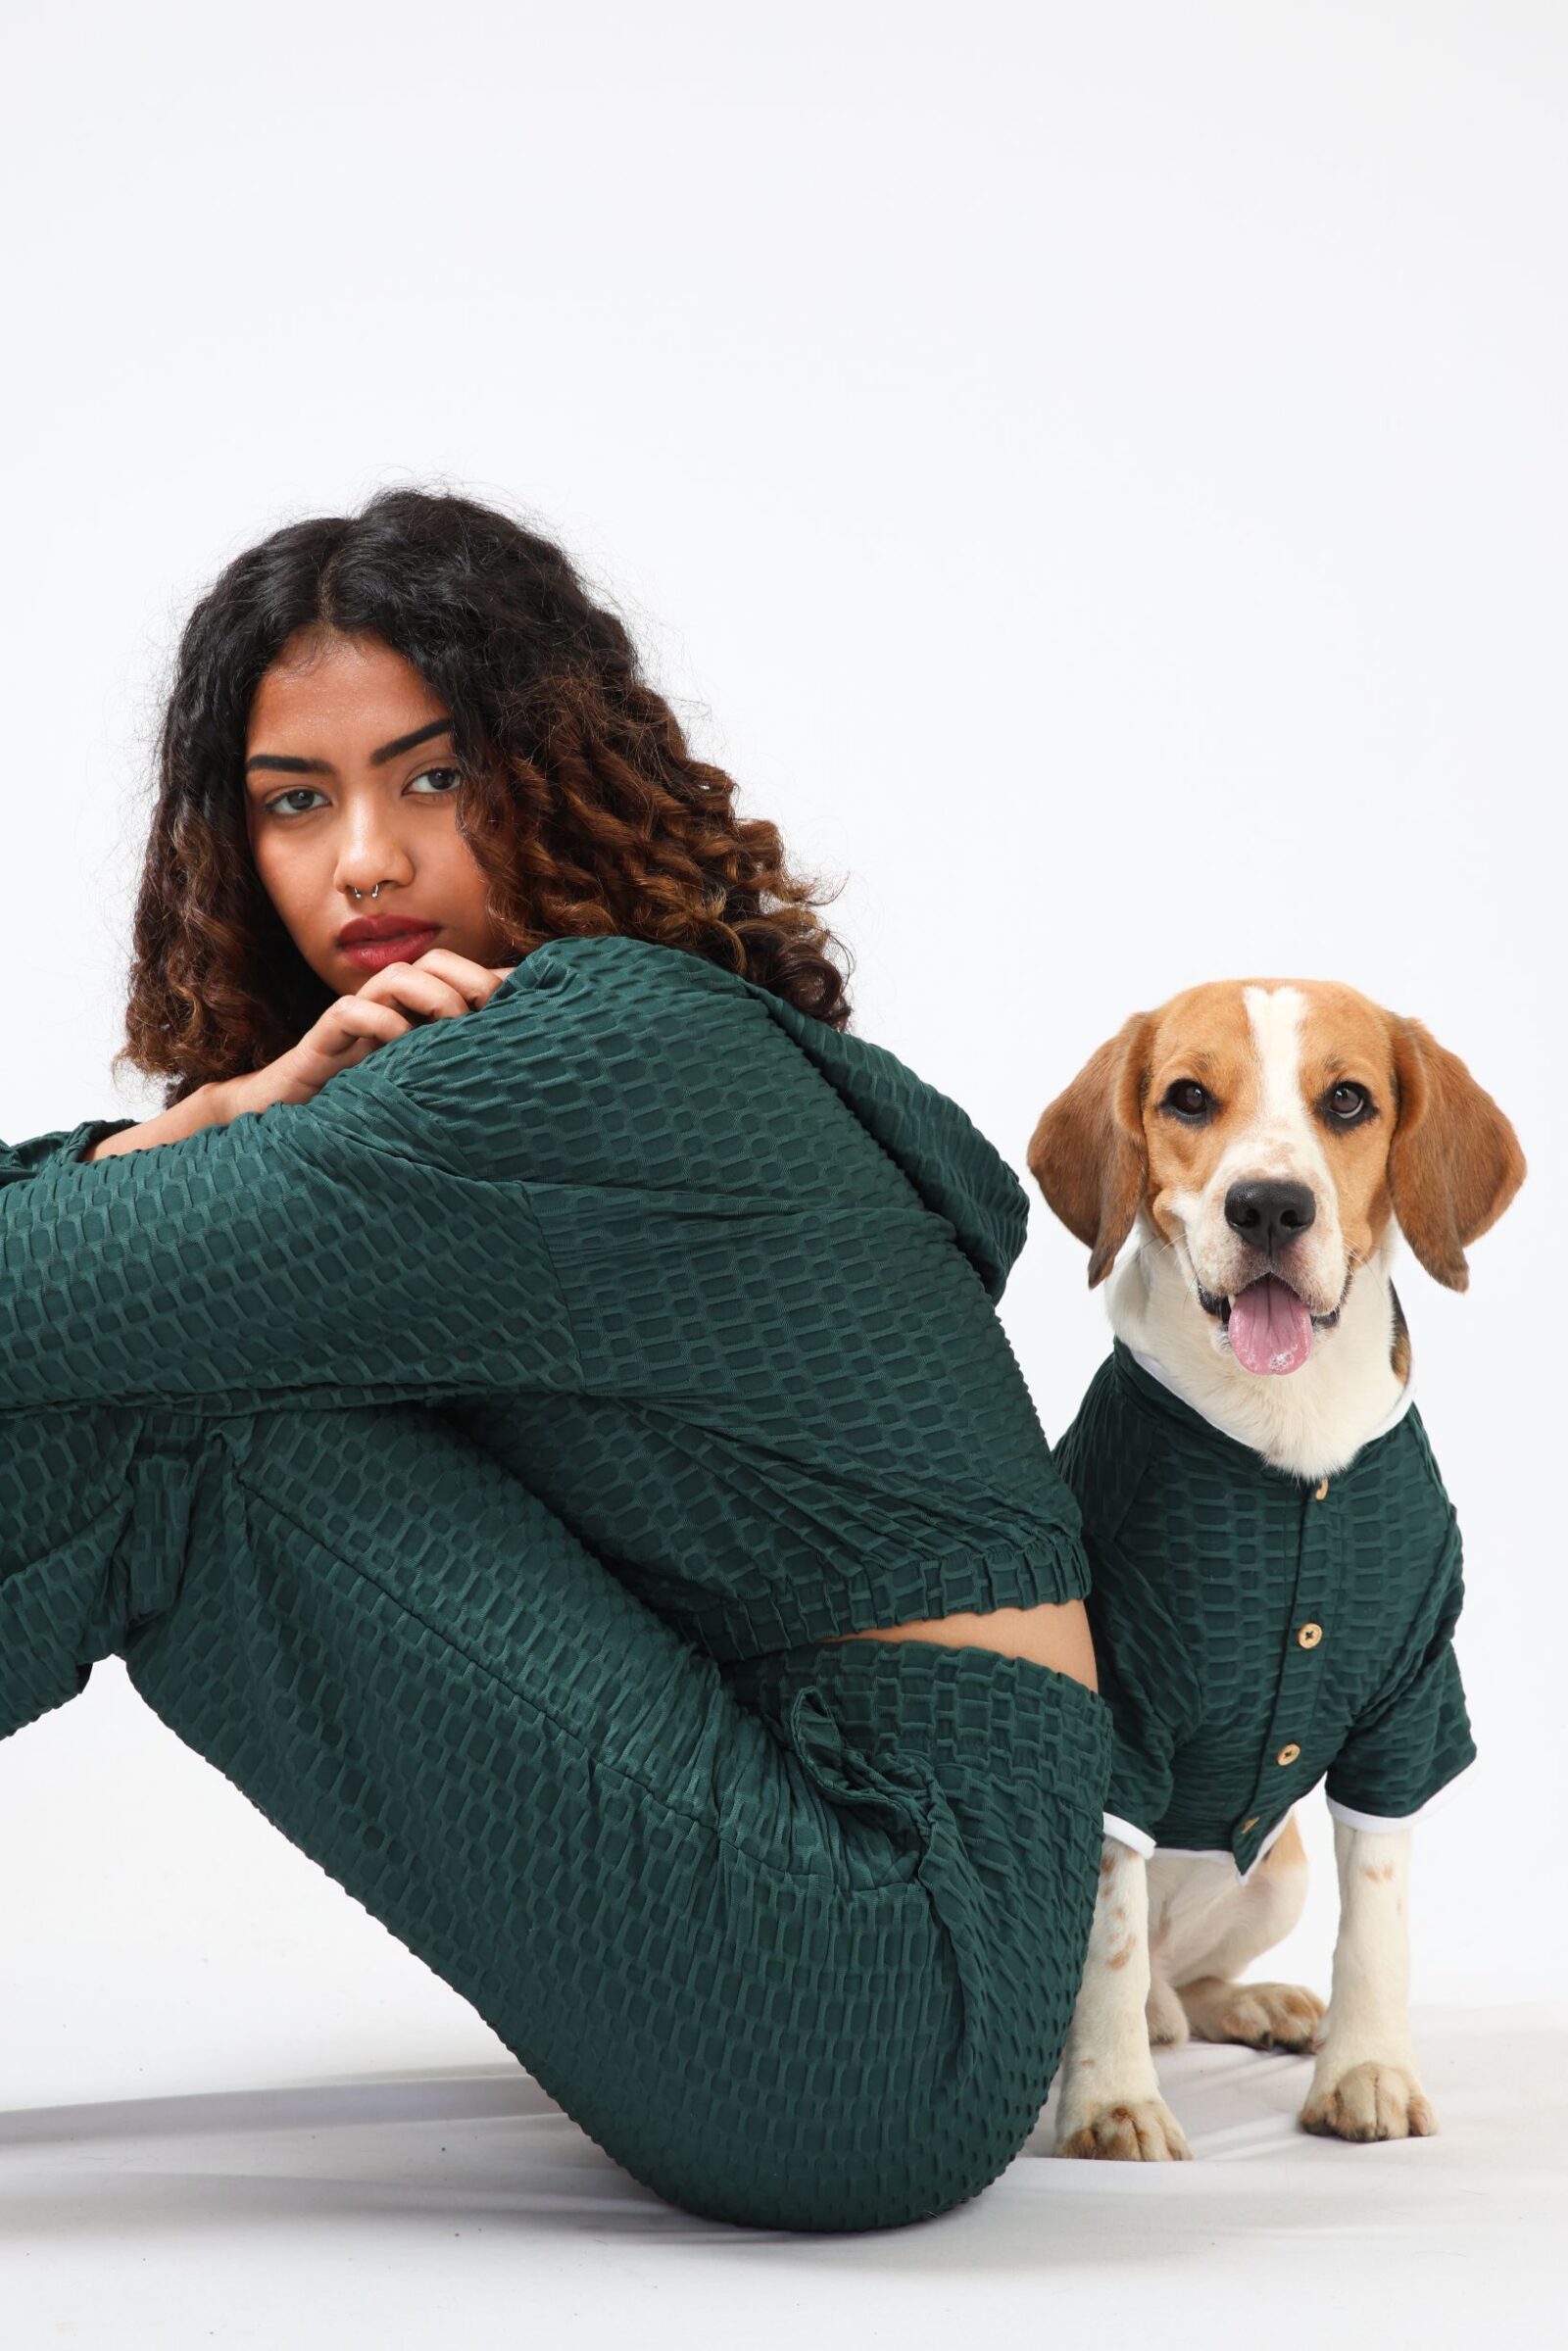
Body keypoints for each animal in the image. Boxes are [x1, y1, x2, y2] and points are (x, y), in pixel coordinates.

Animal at [1029, 973, 1523, 2153]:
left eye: (1347, 1099)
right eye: (1187, 1097)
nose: (1267, 1207)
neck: (1283, 1422)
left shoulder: (1409, 1707)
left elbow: (1378, 1915)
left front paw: (1368, 2067)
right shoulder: (1119, 1714)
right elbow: (1106, 1938)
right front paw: (1109, 2100)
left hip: (1279, 1872)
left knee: (1183, 1973)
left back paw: (1250, 2004)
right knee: (1139, 1964)